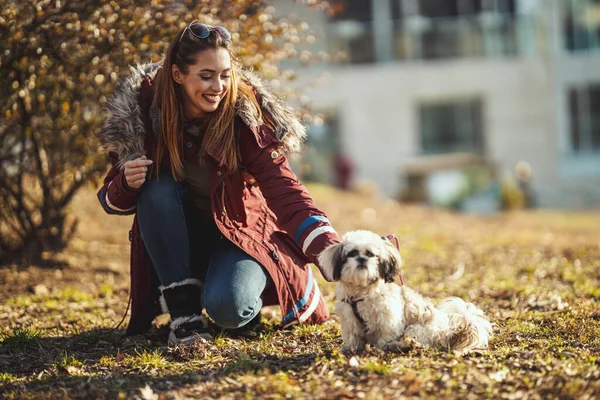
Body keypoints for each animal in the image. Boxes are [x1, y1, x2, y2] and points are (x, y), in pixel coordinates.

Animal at [318, 230, 492, 354]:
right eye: (352, 253)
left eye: (371, 254)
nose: (362, 259)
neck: (362, 293)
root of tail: (449, 330)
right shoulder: (350, 318)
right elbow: (353, 335)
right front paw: (351, 348)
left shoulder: (387, 318)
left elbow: (384, 336)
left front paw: (381, 348)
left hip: (415, 329)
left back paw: (401, 345)